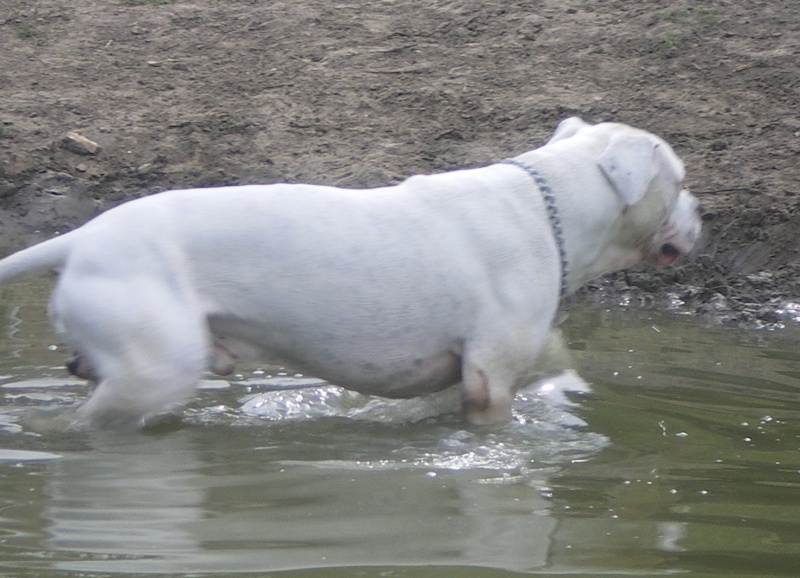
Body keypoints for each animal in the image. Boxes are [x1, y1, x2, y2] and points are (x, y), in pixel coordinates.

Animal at [0, 117, 700, 426]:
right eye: (681, 180)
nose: (702, 215)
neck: (548, 205)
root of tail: (83, 238)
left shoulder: (464, 375)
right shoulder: (490, 379)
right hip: (153, 370)